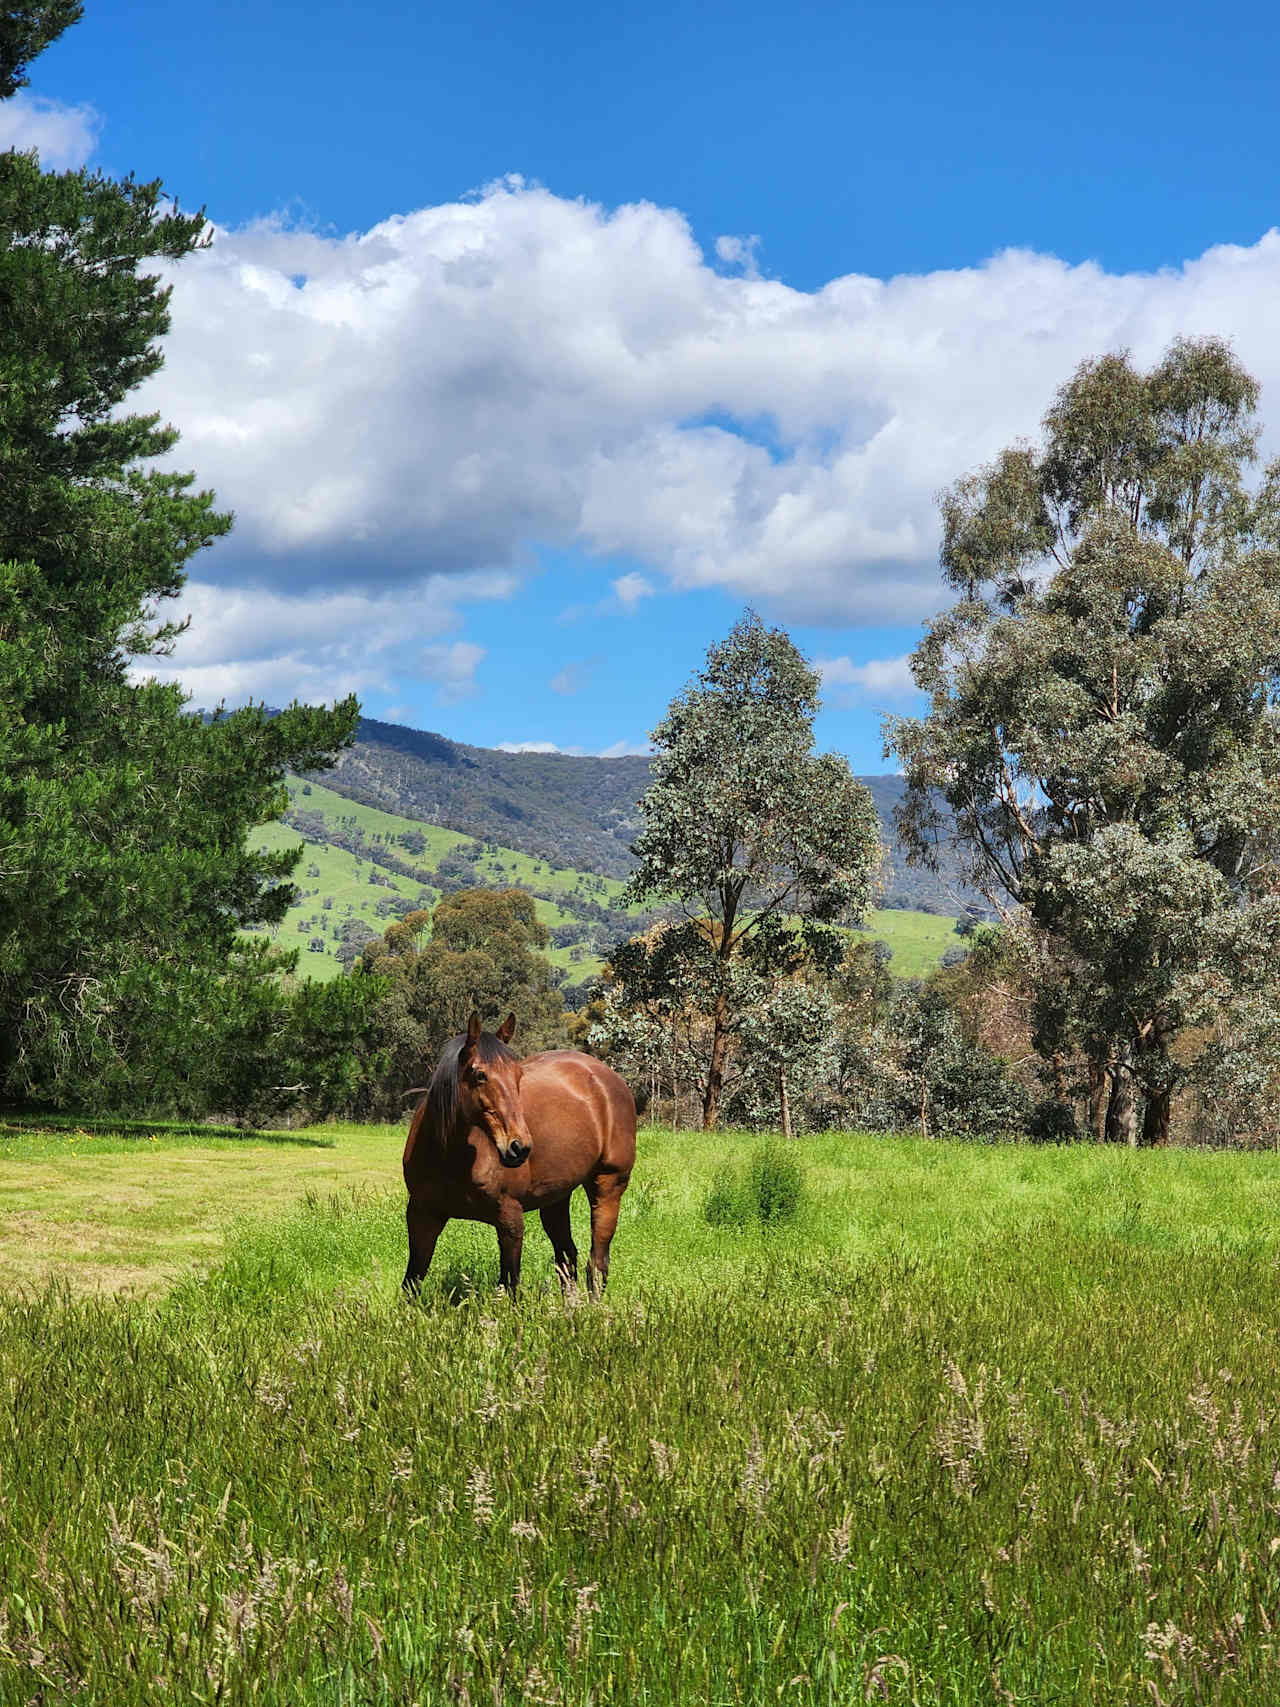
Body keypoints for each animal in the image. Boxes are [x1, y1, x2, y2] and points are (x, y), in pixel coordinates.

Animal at [402, 1010, 638, 1290]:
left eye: (518, 1076)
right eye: (479, 1075)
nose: (519, 1147)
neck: (451, 1158)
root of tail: (607, 1078)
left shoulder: (510, 1221)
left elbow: (510, 1286)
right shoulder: (422, 1217)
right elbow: (411, 1284)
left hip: (608, 1186)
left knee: (597, 1266)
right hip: (556, 1199)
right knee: (567, 1259)